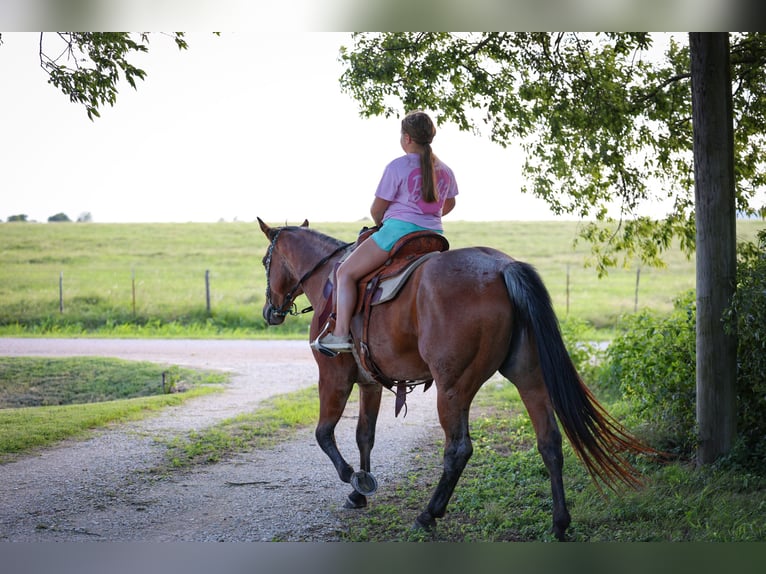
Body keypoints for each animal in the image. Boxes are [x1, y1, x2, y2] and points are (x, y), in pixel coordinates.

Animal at [257, 218, 656, 540]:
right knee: (550, 441)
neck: (331, 277)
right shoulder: (370, 383)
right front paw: (360, 491)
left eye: (265, 262)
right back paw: (560, 523)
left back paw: (428, 514)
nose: (269, 311)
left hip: (452, 388)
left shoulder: (334, 376)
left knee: (458, 449)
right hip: (529, 377)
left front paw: (352, 478)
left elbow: (324, 433)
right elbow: (364, 436)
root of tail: (503, 267)